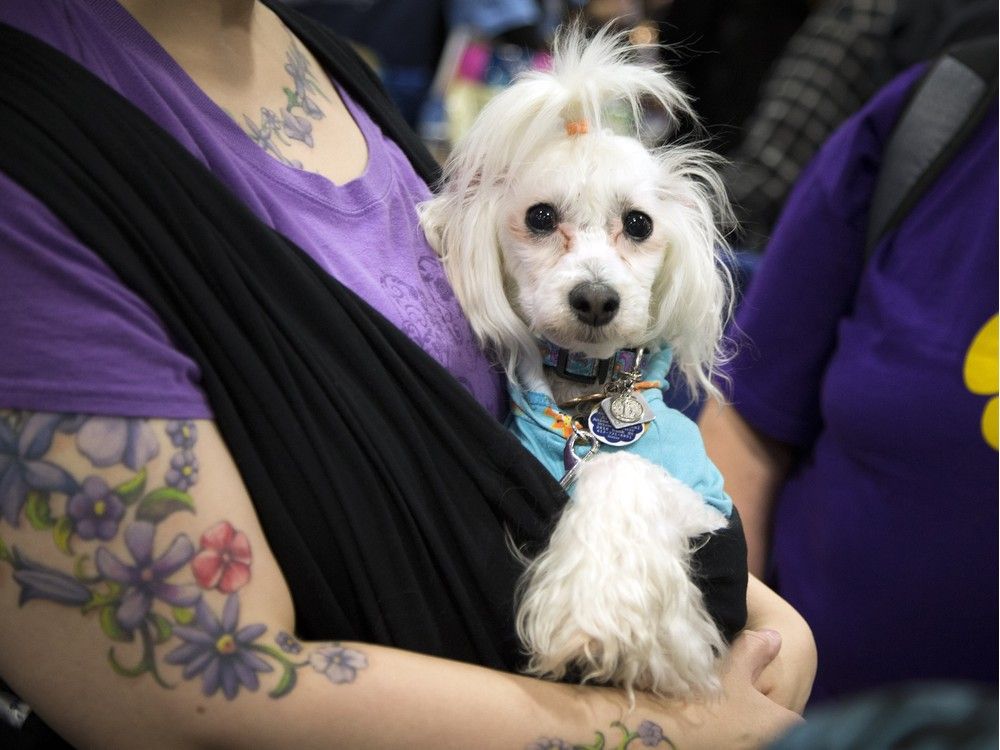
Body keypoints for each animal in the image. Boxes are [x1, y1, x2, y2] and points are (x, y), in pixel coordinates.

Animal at [418, 26, 740, 704]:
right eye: (540, 216)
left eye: (639, 224)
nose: (595, 298)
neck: (587, 394)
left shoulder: (709, 505)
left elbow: (622, 471)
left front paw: (594, 614)